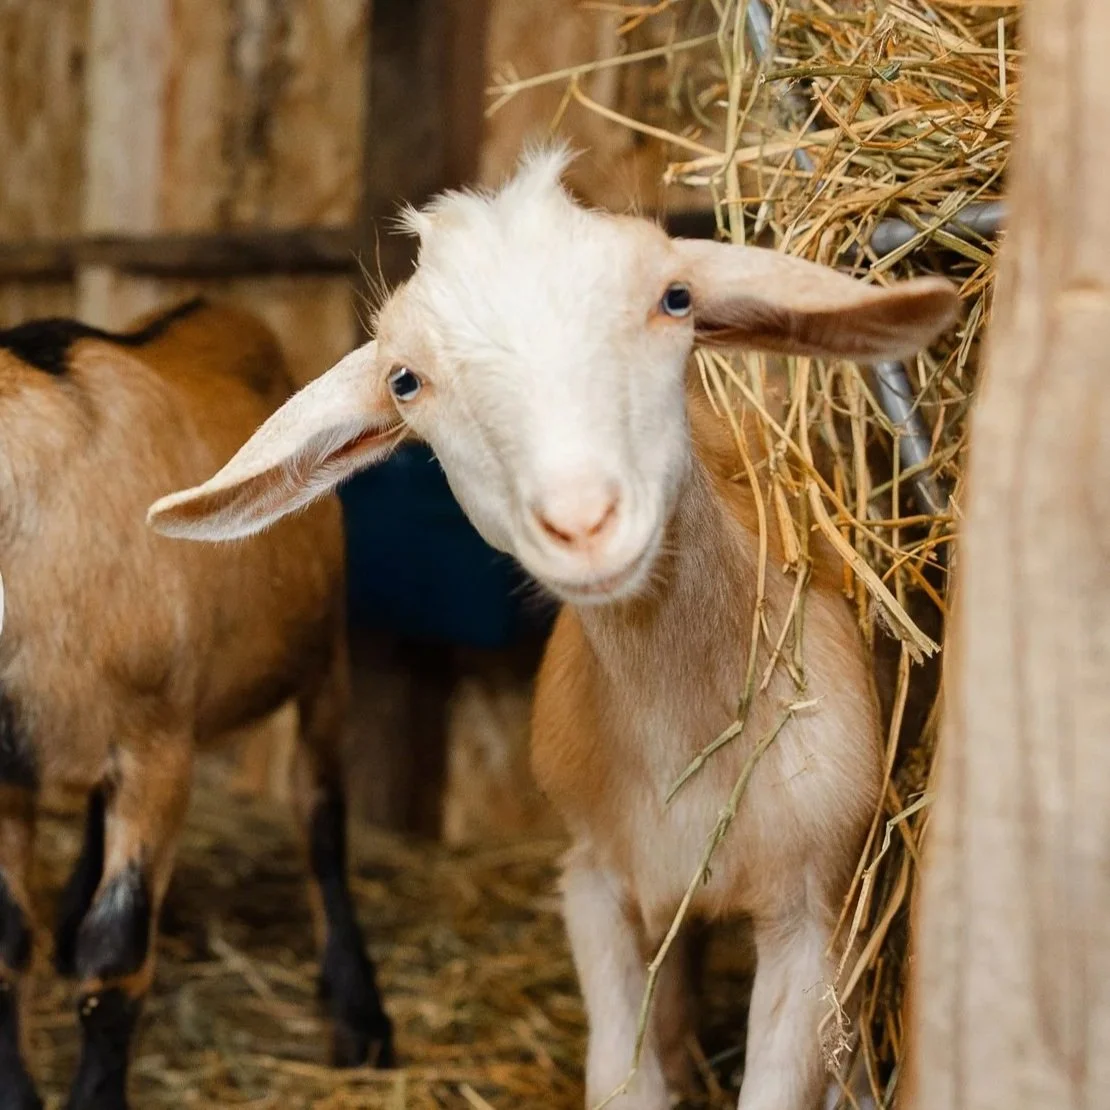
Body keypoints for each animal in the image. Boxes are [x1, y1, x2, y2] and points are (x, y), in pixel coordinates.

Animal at [0, 299, 392, 1110]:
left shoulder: (159, 752)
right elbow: (6, 942)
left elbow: (116, 954)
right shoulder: (8, 768)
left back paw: (359, 1016)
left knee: (321, 821)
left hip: (324, 657)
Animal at [149, 151, 957, 1110]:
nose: (583, 520)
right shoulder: (594, 881)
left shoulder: (816, 909)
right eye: (405, 380)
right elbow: (619, 1077)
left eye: (675, 298)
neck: (689, 734)